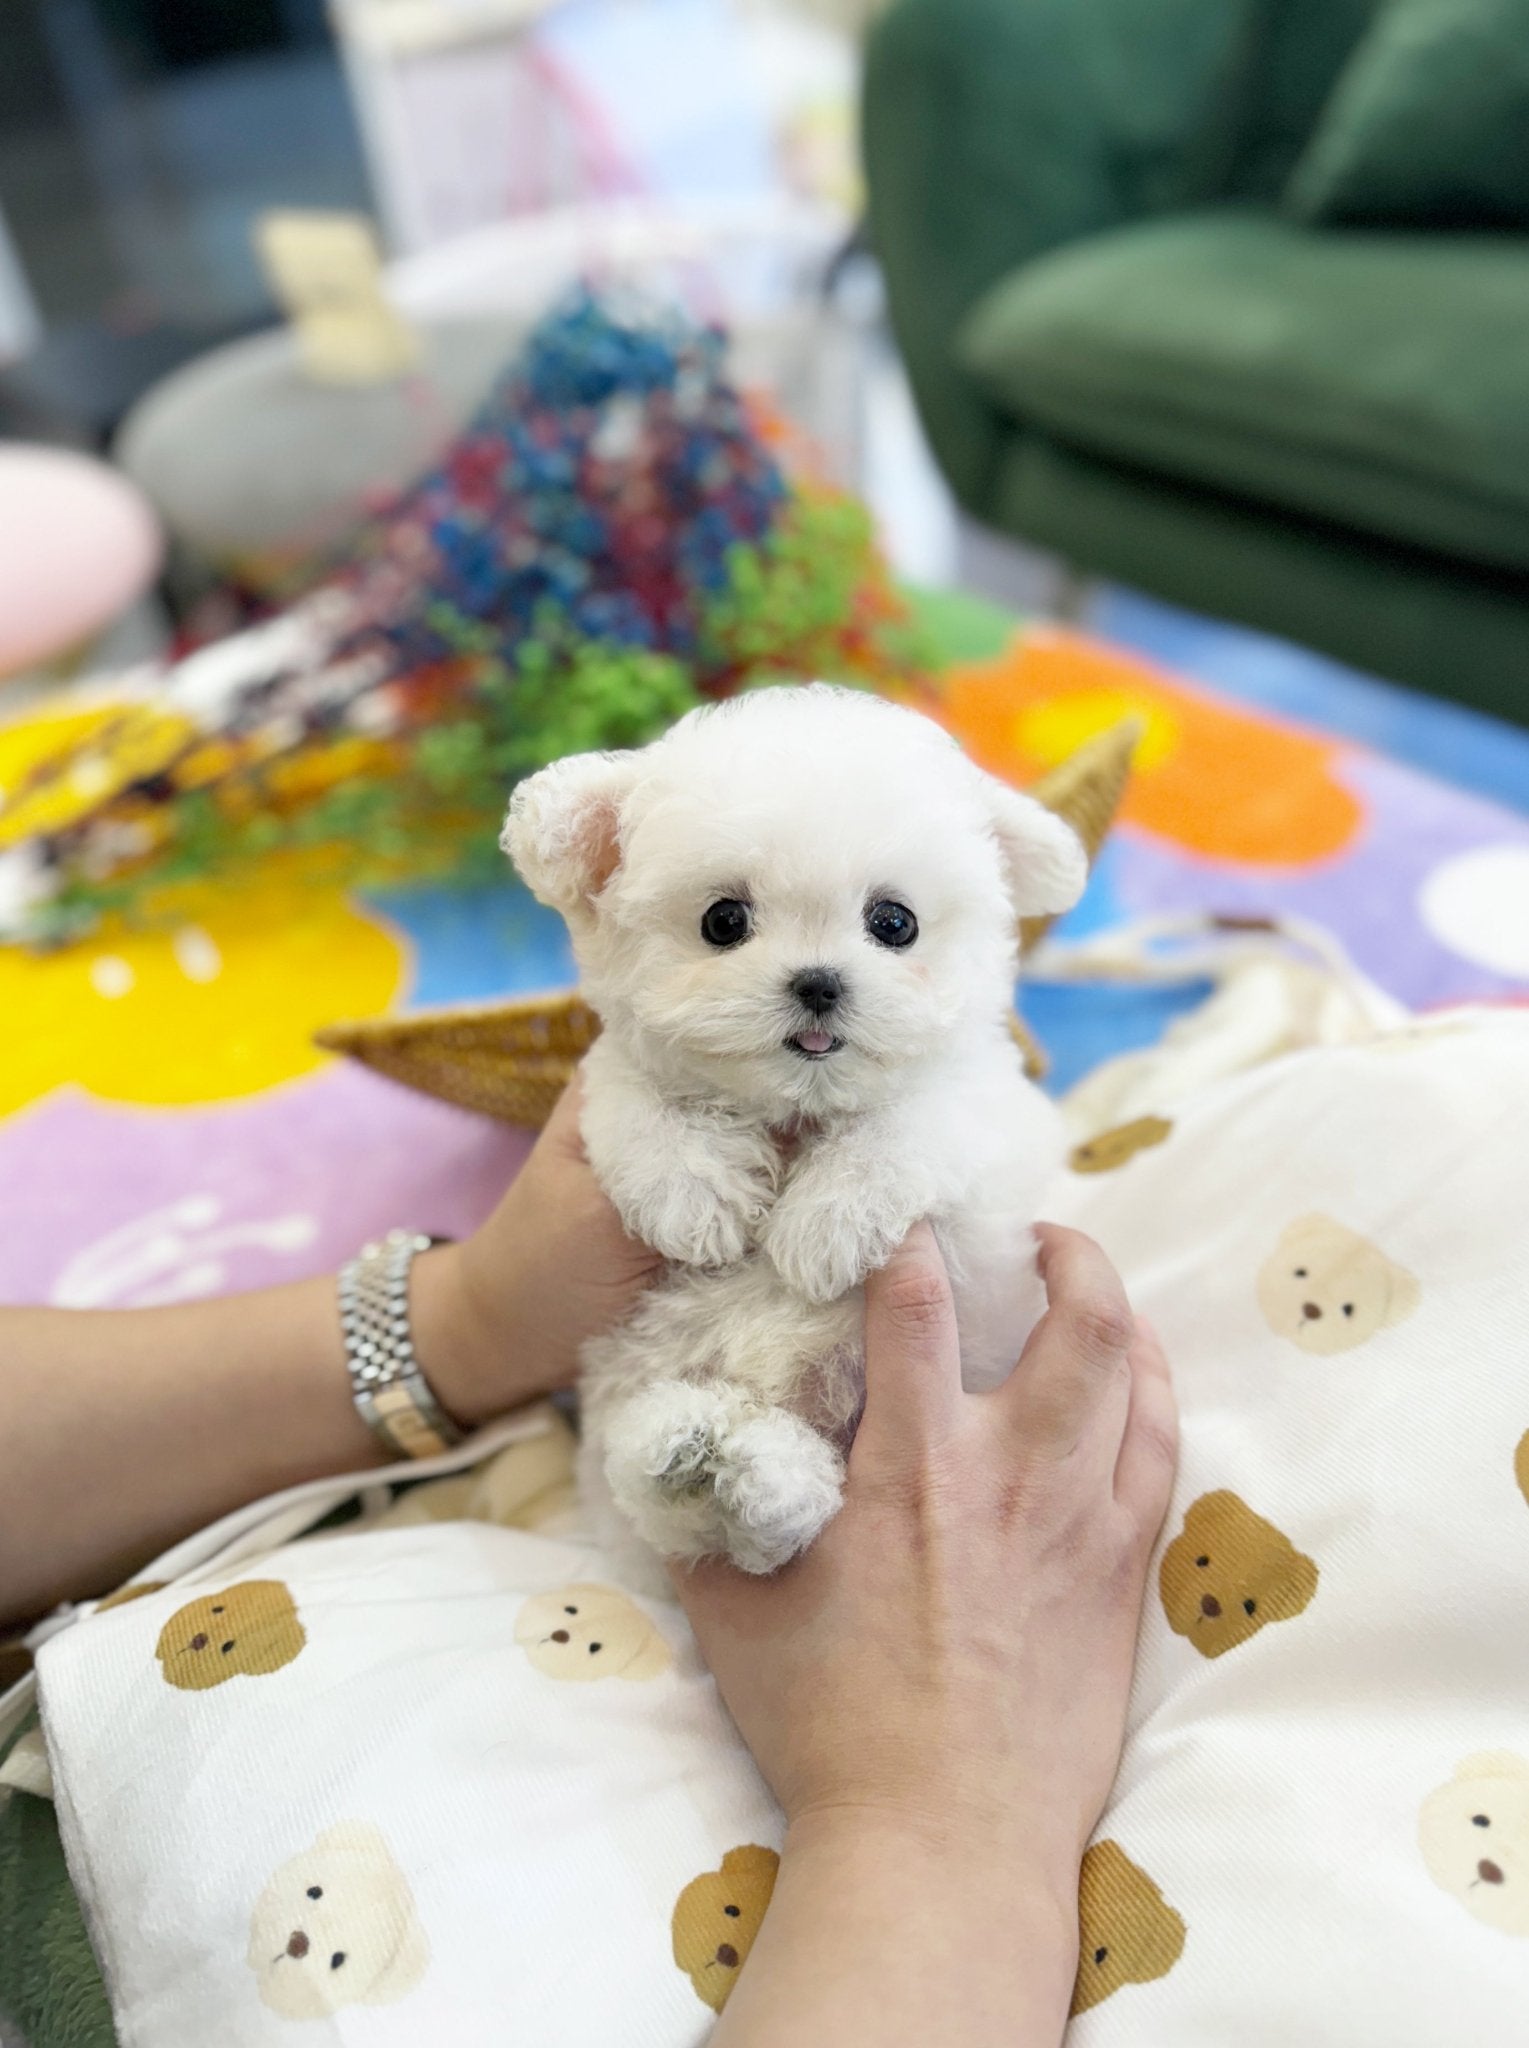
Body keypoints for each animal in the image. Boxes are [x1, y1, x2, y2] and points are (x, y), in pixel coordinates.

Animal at [505, 688, 1088, 1581]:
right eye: (723, 920)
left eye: (893, 922)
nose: (817, 983)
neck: (796, 1107)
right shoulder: (616, 1075)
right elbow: (641, 1100)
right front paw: (695, 1198)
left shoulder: (980, 1103)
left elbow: (910, 1121)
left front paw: (822, 1230)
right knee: (676, 1512)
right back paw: (687, 1456)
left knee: (784, 1512)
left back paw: (745, 1474)